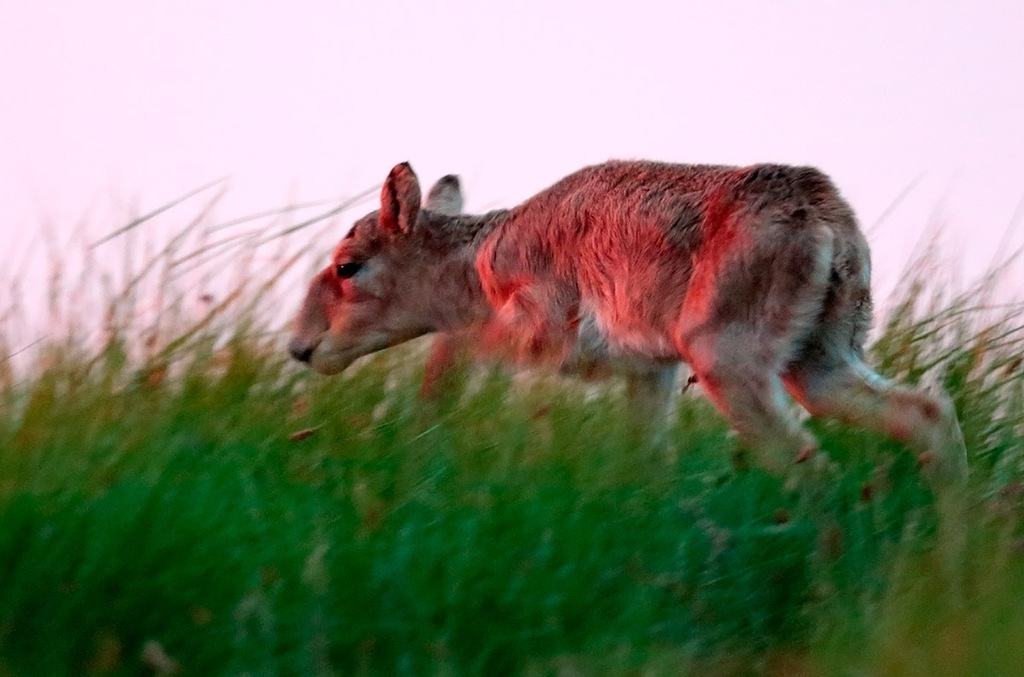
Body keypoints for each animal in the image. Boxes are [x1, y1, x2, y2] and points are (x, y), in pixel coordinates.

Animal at [288, 158, 966, 485]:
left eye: (348, 266)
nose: (299, 347)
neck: (482, 261)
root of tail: (827, 218)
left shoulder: (539, 327)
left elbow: (455, 348)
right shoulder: (652, 372)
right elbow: (646, 460)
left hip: (728, 363)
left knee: (810, 466)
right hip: (818, 363)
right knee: (927, 417)